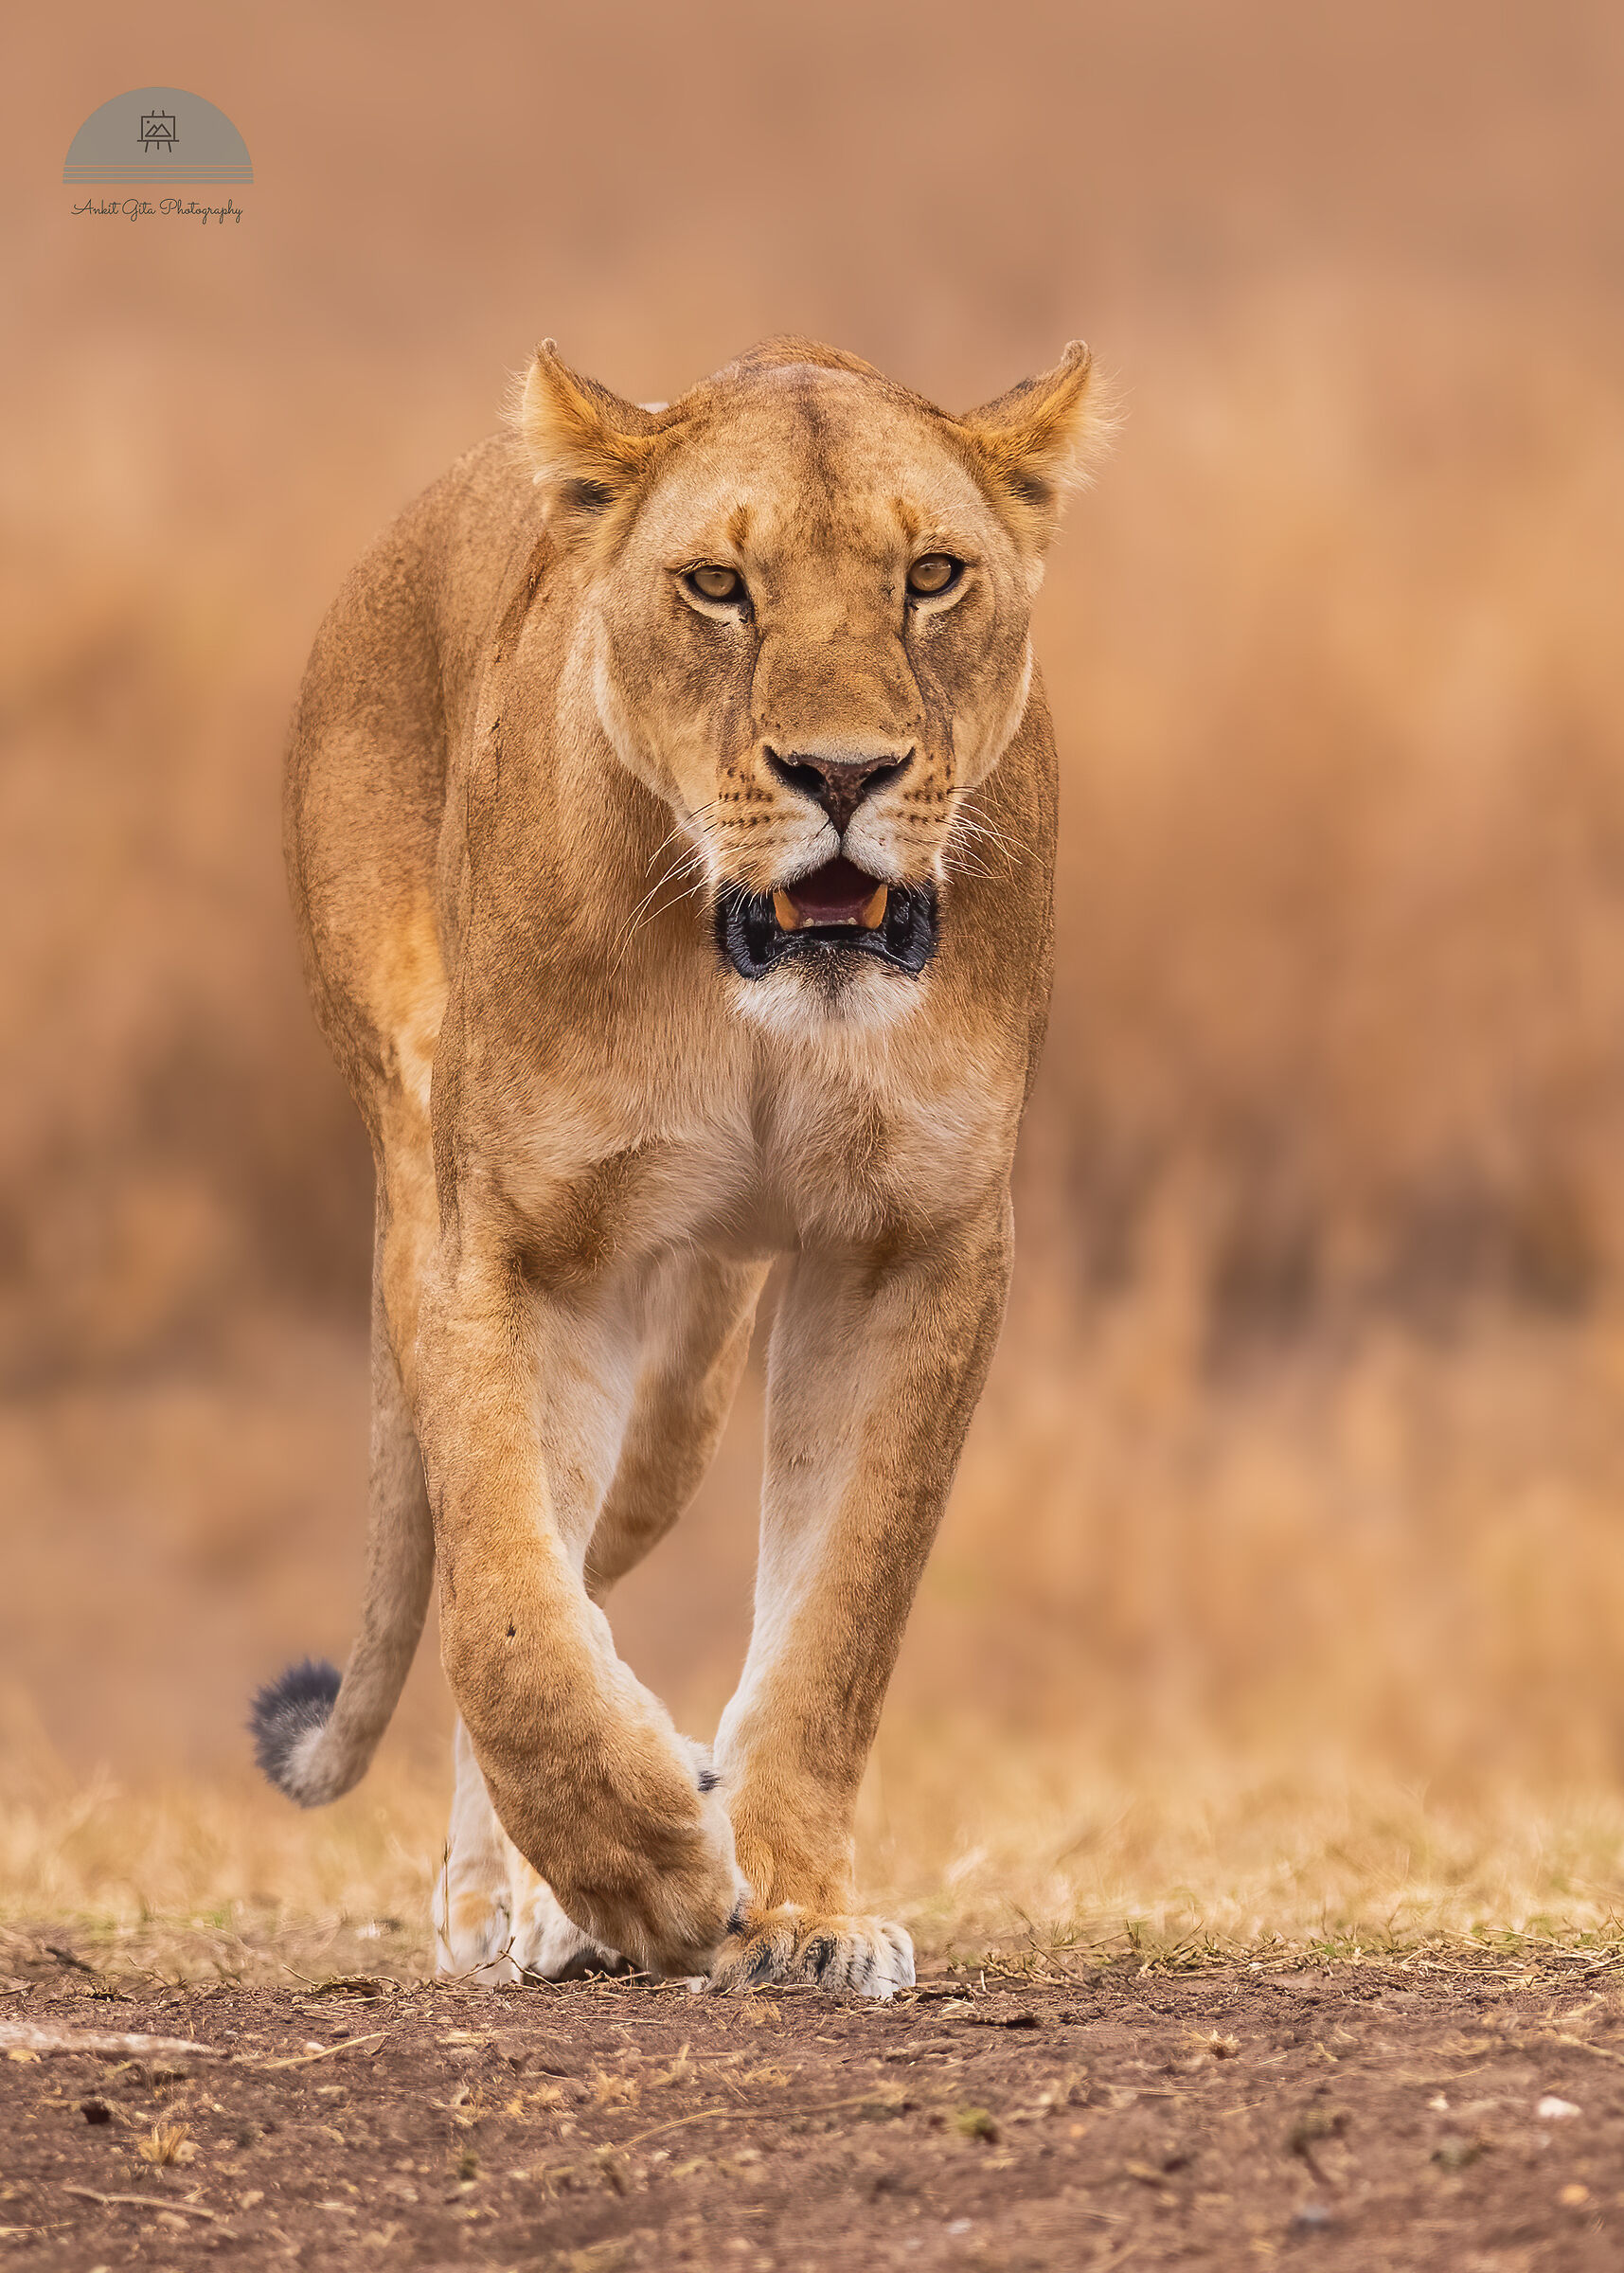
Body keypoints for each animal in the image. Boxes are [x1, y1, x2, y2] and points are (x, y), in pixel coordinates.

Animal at [251, 335, 1100, 1997]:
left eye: (931, 575)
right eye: (717, 586)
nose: (842, 772)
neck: (745, 989)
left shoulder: (912, 1240)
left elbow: (841, 1615)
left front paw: (800, 1914)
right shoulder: (511, 1244)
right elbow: (507, 1614)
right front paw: (639, 1869)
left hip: (674, 1397)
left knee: (584, 1556)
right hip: (429, 1190)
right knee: (509, 1562)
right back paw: (513, 1901)